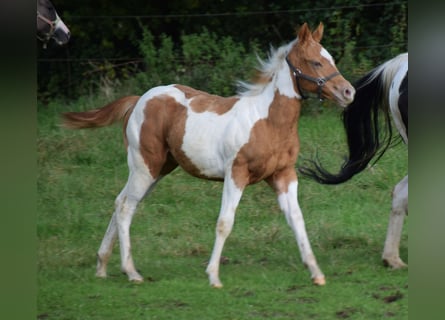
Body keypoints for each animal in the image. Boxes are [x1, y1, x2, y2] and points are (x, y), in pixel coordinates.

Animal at [61, 23, 354, 288]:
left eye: (331, 59)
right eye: (315, 62)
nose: (348, 91)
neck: (269, 121)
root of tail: (139, 100)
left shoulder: (284, 175)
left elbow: (297, 220)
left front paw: (316, 272)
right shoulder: (236, 173)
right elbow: (225, 222)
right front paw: (213, 276)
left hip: (156, 171)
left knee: (121, 201)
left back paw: (102, 266)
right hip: (146, 167)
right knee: (125, 207)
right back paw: (131, 272)